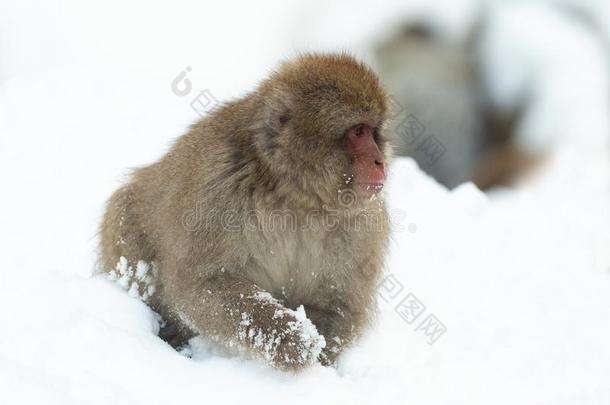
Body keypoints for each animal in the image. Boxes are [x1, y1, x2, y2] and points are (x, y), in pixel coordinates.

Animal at [100, 53, 390, 372]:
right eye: (358, 132)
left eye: (374, 131)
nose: (379, 161)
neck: (297, 196)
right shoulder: (217, 192)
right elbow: (198, 284)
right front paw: (292, 340)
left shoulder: (363, 224)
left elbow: (338, 300)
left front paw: (319, 360)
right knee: (125, 215)